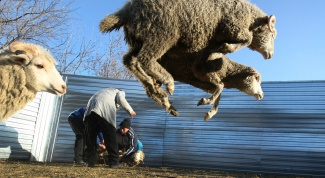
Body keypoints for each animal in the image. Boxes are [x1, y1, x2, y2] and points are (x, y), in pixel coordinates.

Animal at [99, 0, 276, 116]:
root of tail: (126, 11)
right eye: (273, 34)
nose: (270, 55)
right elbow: (247, 40)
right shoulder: (232, 29)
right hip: (163, 32)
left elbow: (219, 91)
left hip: (139, 40)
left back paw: (160, 94)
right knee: (145, 59)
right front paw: (223, 49)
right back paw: (168, 83)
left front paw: (210, 111)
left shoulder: (202, 80)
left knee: (130, 61)